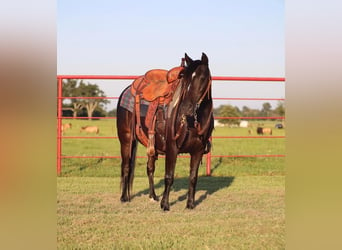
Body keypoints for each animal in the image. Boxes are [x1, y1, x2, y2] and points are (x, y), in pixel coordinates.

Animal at [117, 53, 214, 211]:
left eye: (202, 78)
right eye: (185, 79)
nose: (185, 108)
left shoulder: (198, 151)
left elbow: (193, 178)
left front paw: (190, 204)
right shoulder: (172, 147)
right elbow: (169, 176)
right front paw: (165, 205)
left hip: (150, 144)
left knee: (150, 168)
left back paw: (153, 196)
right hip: (126, 140)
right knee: (126, 167)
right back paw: (124, 197)